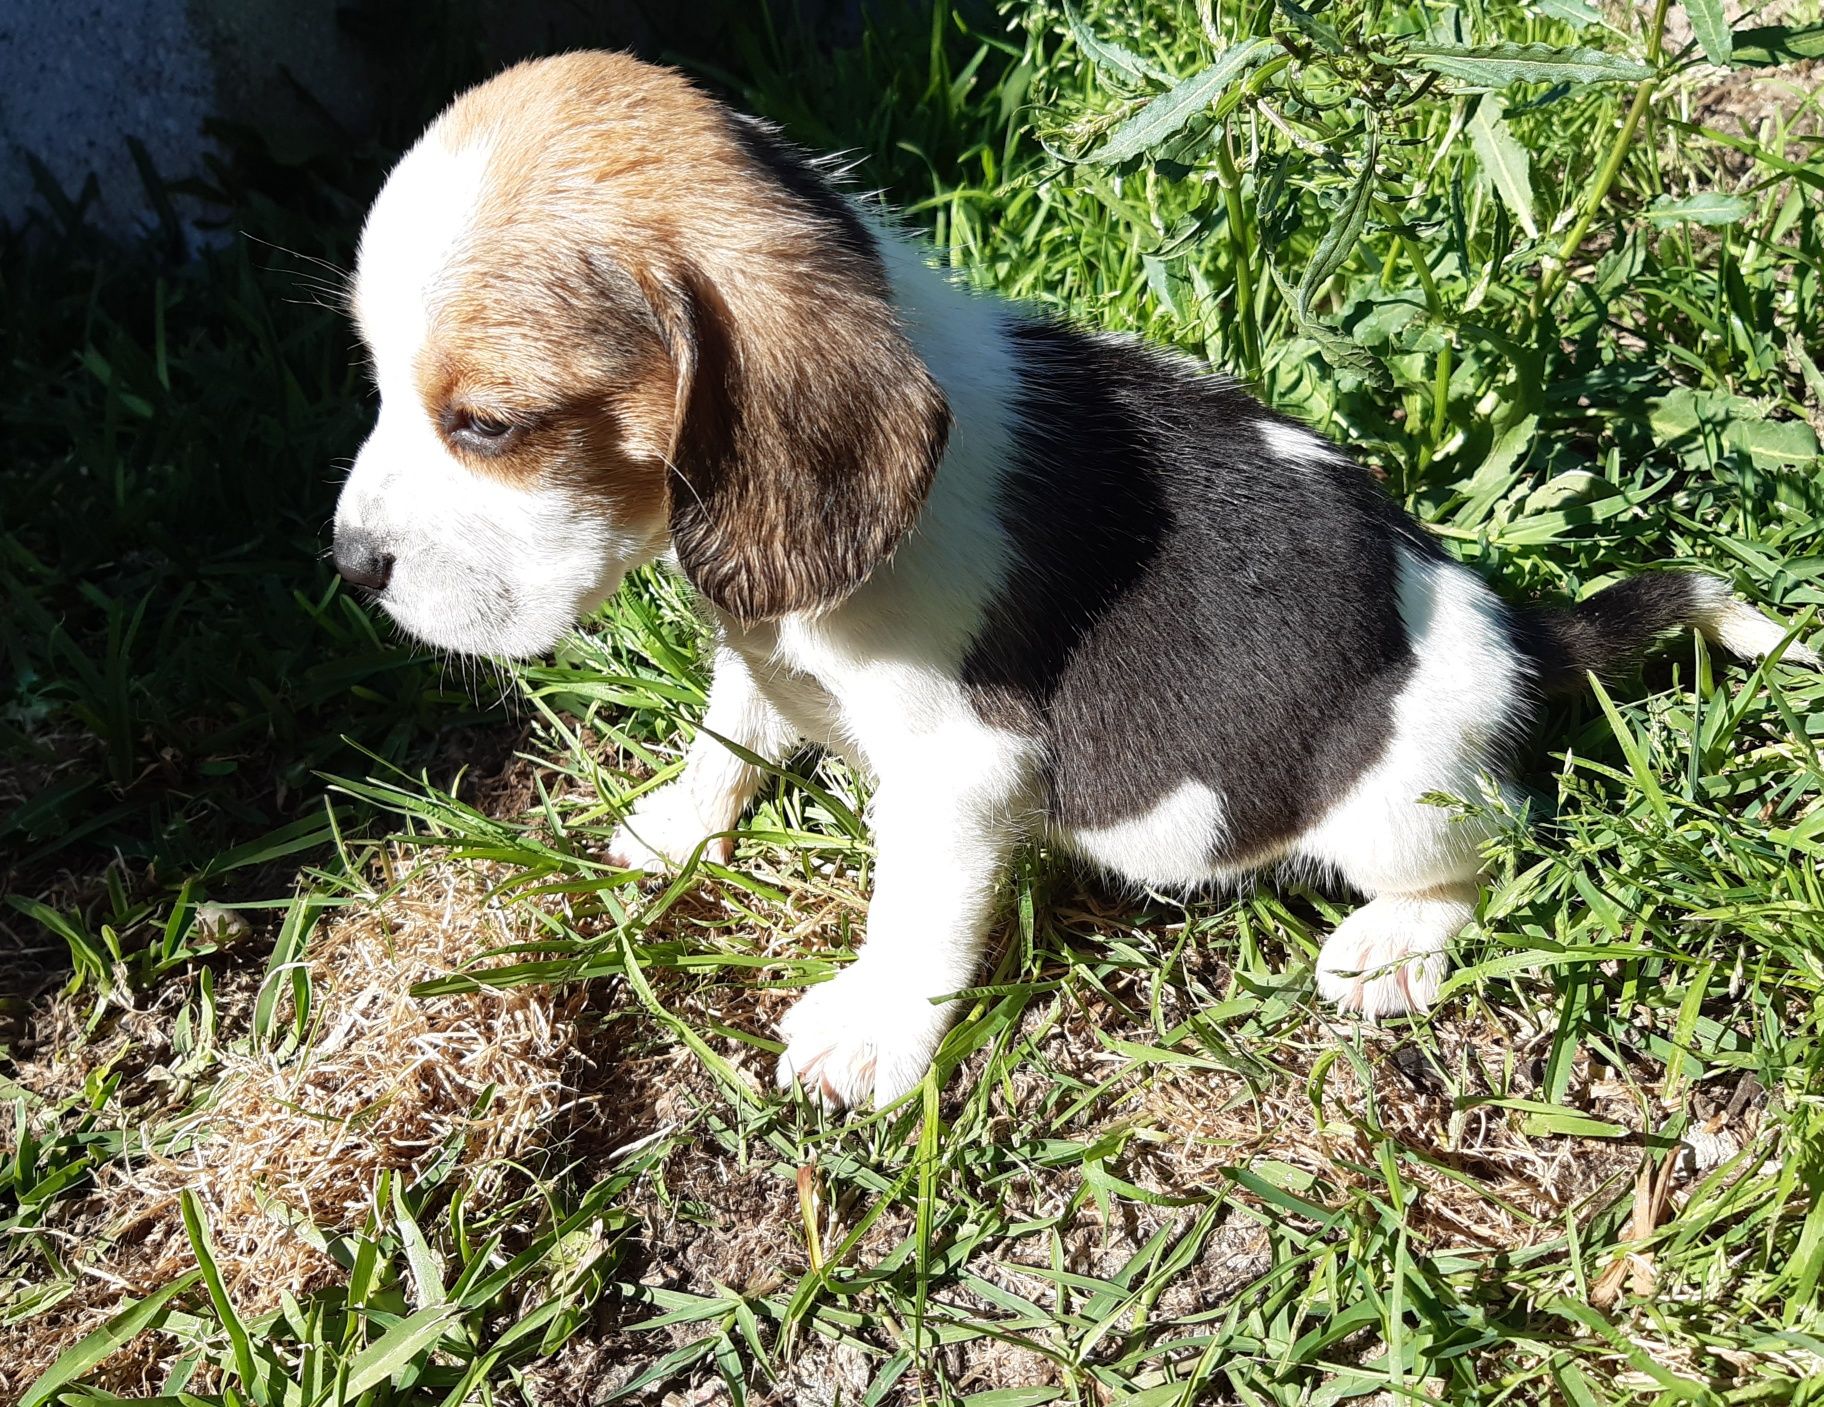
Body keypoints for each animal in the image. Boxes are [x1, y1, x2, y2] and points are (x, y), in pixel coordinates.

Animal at [335, 52, 1816, 1109]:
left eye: (489, 424)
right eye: (378, 381)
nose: (350, 566)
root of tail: (1517, 631)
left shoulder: (957, 774)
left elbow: (915, 914)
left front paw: (873, 1034)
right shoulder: (757, 637)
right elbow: (734, 724)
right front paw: (681, 824)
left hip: (1402, 804)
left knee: (1486, 857)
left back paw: (1390, 950)